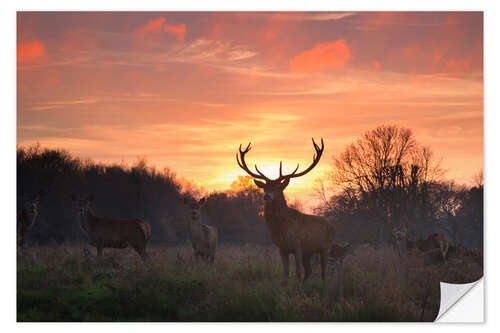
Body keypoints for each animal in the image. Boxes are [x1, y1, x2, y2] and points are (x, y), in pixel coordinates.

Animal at [235, 137, 336, 280]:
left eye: (278, 187)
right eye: (264, 187)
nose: (267, 196)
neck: (282, 230)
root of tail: (332, 226)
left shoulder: (298, 246)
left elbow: (298, 273)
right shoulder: (281, 248)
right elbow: (286, 273)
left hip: (326, 247)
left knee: (323, 273)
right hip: (309, 252)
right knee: (309, 271)